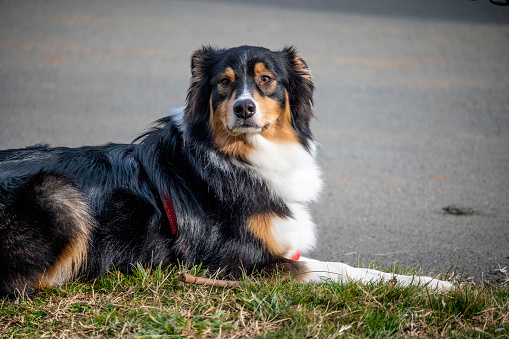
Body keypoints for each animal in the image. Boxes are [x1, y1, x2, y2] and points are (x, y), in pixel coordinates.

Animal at [0, 45, 452, 298]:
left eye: (267, 80)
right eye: (224, 83)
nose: (244, 108)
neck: (238, 156)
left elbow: (352, 268)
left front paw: (435, 284)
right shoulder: (240, 263)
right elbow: (335, 272)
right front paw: (442, 287)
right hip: (58, 194)